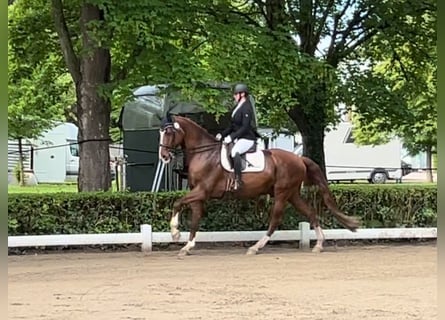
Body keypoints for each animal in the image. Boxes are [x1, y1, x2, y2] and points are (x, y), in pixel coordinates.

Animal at [158, 114, 360, 255]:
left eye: (168, 132)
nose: (164, 156)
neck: (204, 154)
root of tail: (299, 158)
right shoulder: (197, 193)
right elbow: (195, 217)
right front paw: (187, 246)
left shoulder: (203, 191)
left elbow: (177, 203)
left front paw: (175, 233)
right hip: (292, 194)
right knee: (310, 212)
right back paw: (318, 245)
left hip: (282, 193)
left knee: (275, 219)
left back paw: (256, 247)